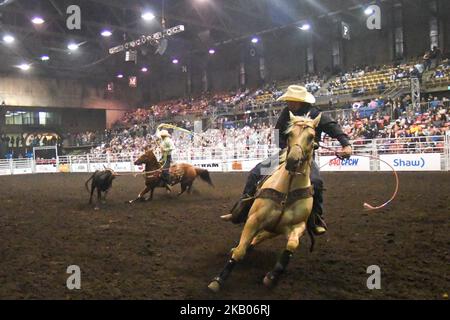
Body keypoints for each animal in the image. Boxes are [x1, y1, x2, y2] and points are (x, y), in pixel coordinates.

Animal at [209, 112, 322, 292]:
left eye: (311, 137)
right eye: (289, 134)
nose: (292, 160)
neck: (287, 191)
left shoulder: (298, 226)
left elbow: (291, 246)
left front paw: (272, 276)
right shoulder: (254, 220)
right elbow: (239, 251)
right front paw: (218, 280)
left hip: (272, 231)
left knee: (257, 239)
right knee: (246, 243)